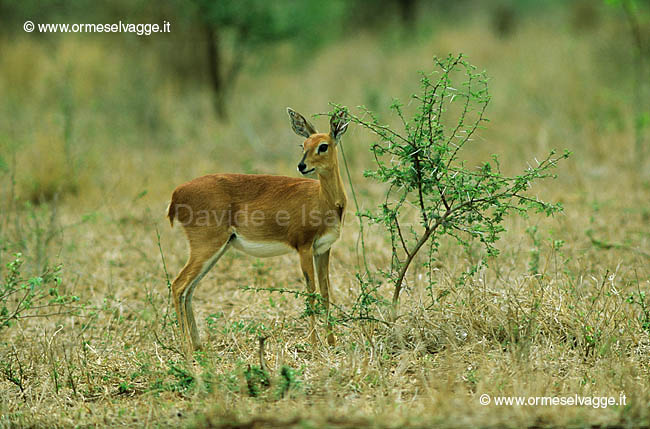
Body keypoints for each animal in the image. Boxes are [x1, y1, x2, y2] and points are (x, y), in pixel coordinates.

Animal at [168, 108, 350, 354]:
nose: (301, 166)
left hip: (217, 250)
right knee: (178, 285)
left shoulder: (323, 249)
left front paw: (332, 343)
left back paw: (198, 345)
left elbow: (325, 292)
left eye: (323, 145)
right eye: (303, 144)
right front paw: (314, 345)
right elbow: (310, 293)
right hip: (206, 246)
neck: (324, 200)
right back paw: (186, 348)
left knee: (189, 289)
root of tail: (177, 193)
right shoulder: (303, 247)